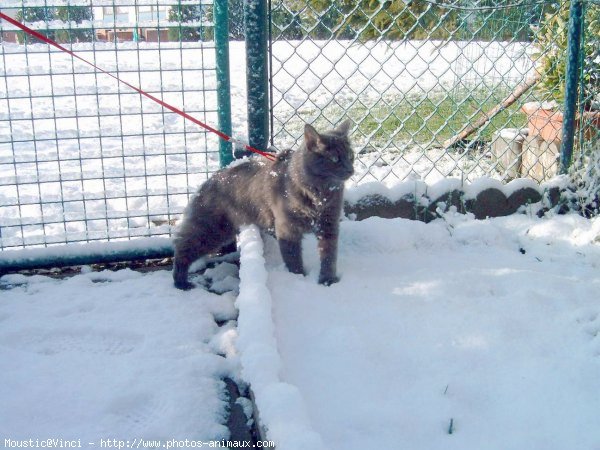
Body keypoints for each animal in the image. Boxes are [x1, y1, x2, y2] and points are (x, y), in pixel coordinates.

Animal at [171, 120, 354, 288]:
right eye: (334, 159)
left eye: (351, 156)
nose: (351, 170)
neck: (318, 195)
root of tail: (209, 181)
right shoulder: (287, 229)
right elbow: (293, 260)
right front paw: (298, 280)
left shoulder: (329, 225)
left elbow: (329, 257)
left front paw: (327, 280)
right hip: (210, 230)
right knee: (182, 248)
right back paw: (181, 283)